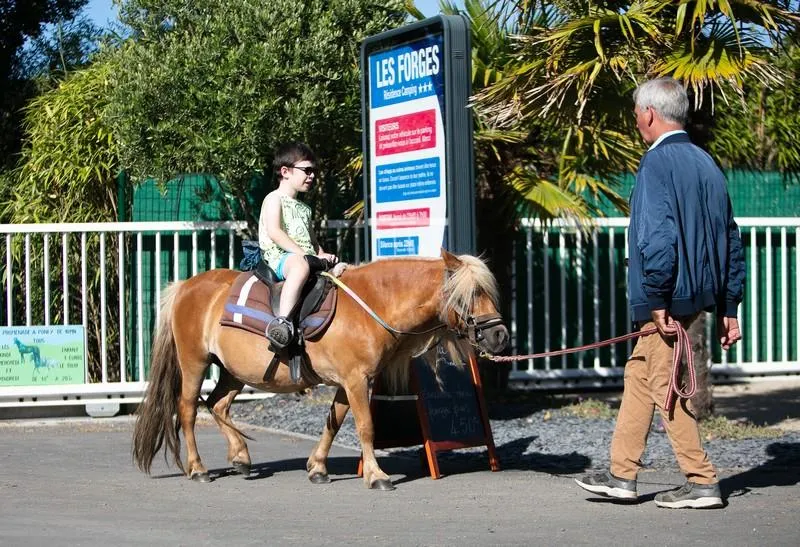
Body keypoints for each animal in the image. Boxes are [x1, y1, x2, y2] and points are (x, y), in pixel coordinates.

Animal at [130, 250, 506, 490]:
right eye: (471, 293)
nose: (500, 335)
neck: (370, 304)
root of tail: (185, 286)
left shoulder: (348, 382)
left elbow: (334, 423)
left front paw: (318, 467)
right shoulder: (357, 380)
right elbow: (366, 428)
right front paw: (376, 475)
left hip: (235, 371)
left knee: (218, 405)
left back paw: (241, 455)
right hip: (194, 362)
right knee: (188, 410)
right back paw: (198, 468)